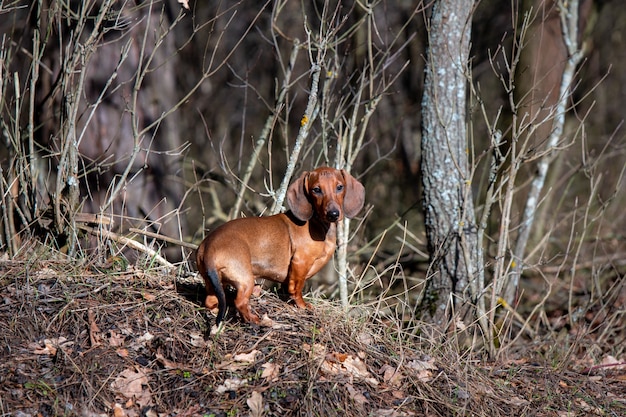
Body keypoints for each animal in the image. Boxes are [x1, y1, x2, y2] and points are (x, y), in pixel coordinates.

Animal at [194, 167, 360, 324]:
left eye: (340, 187)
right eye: (316, 189)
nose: (333, 214)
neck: (317, 224)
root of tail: (208, 247)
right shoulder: (300, 262)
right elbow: (296, 289)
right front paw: (302, 306)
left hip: (213, 283)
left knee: (210, 301)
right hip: (246, 279)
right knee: (240, 302)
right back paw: (254, 319)